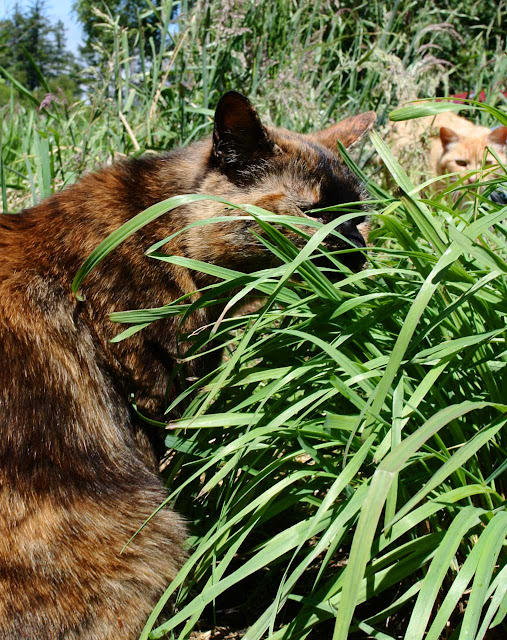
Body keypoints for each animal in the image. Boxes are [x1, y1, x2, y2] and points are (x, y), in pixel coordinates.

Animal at [0, 91, 374, 640]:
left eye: (357, 216)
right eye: (311, 213)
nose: (355, 249)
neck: (163, 234)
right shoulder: (150, 396)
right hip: (145, 532)